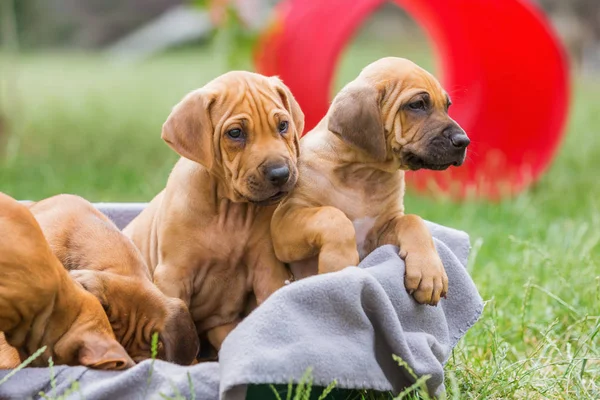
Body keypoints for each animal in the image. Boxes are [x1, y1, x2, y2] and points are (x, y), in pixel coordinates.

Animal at [122, 71, 302, 354]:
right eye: (235, 133)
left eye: (283, 125)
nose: (280, 174)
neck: (230, 212)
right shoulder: (173, 276)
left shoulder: (269, 270)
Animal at [270, 57, 472, 306]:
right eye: (417, 105)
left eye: (447, 106)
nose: (463, 141)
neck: (365, 174)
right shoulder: (284, 222)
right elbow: (333, 216)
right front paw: (340, 263)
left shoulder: (381, 233)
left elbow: (413, 221)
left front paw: (429, 274)